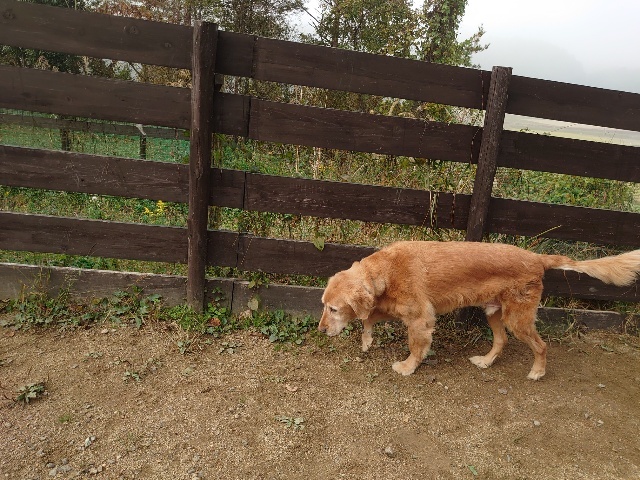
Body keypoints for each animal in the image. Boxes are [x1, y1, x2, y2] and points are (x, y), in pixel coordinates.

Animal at [318, 241, 640, 380]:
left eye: (333, 309)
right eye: (324, 305)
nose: (320, 330)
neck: (385, 271)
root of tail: (537, 258)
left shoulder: (420, 318)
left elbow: (415, 347)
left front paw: (408, 367)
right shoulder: (394, 307)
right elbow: (369, 317)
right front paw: (366, 340)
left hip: (517, 317)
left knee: (541, 345)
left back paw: (537, 372)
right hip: (494, 313)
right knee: (501, 341)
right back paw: (486, 362)